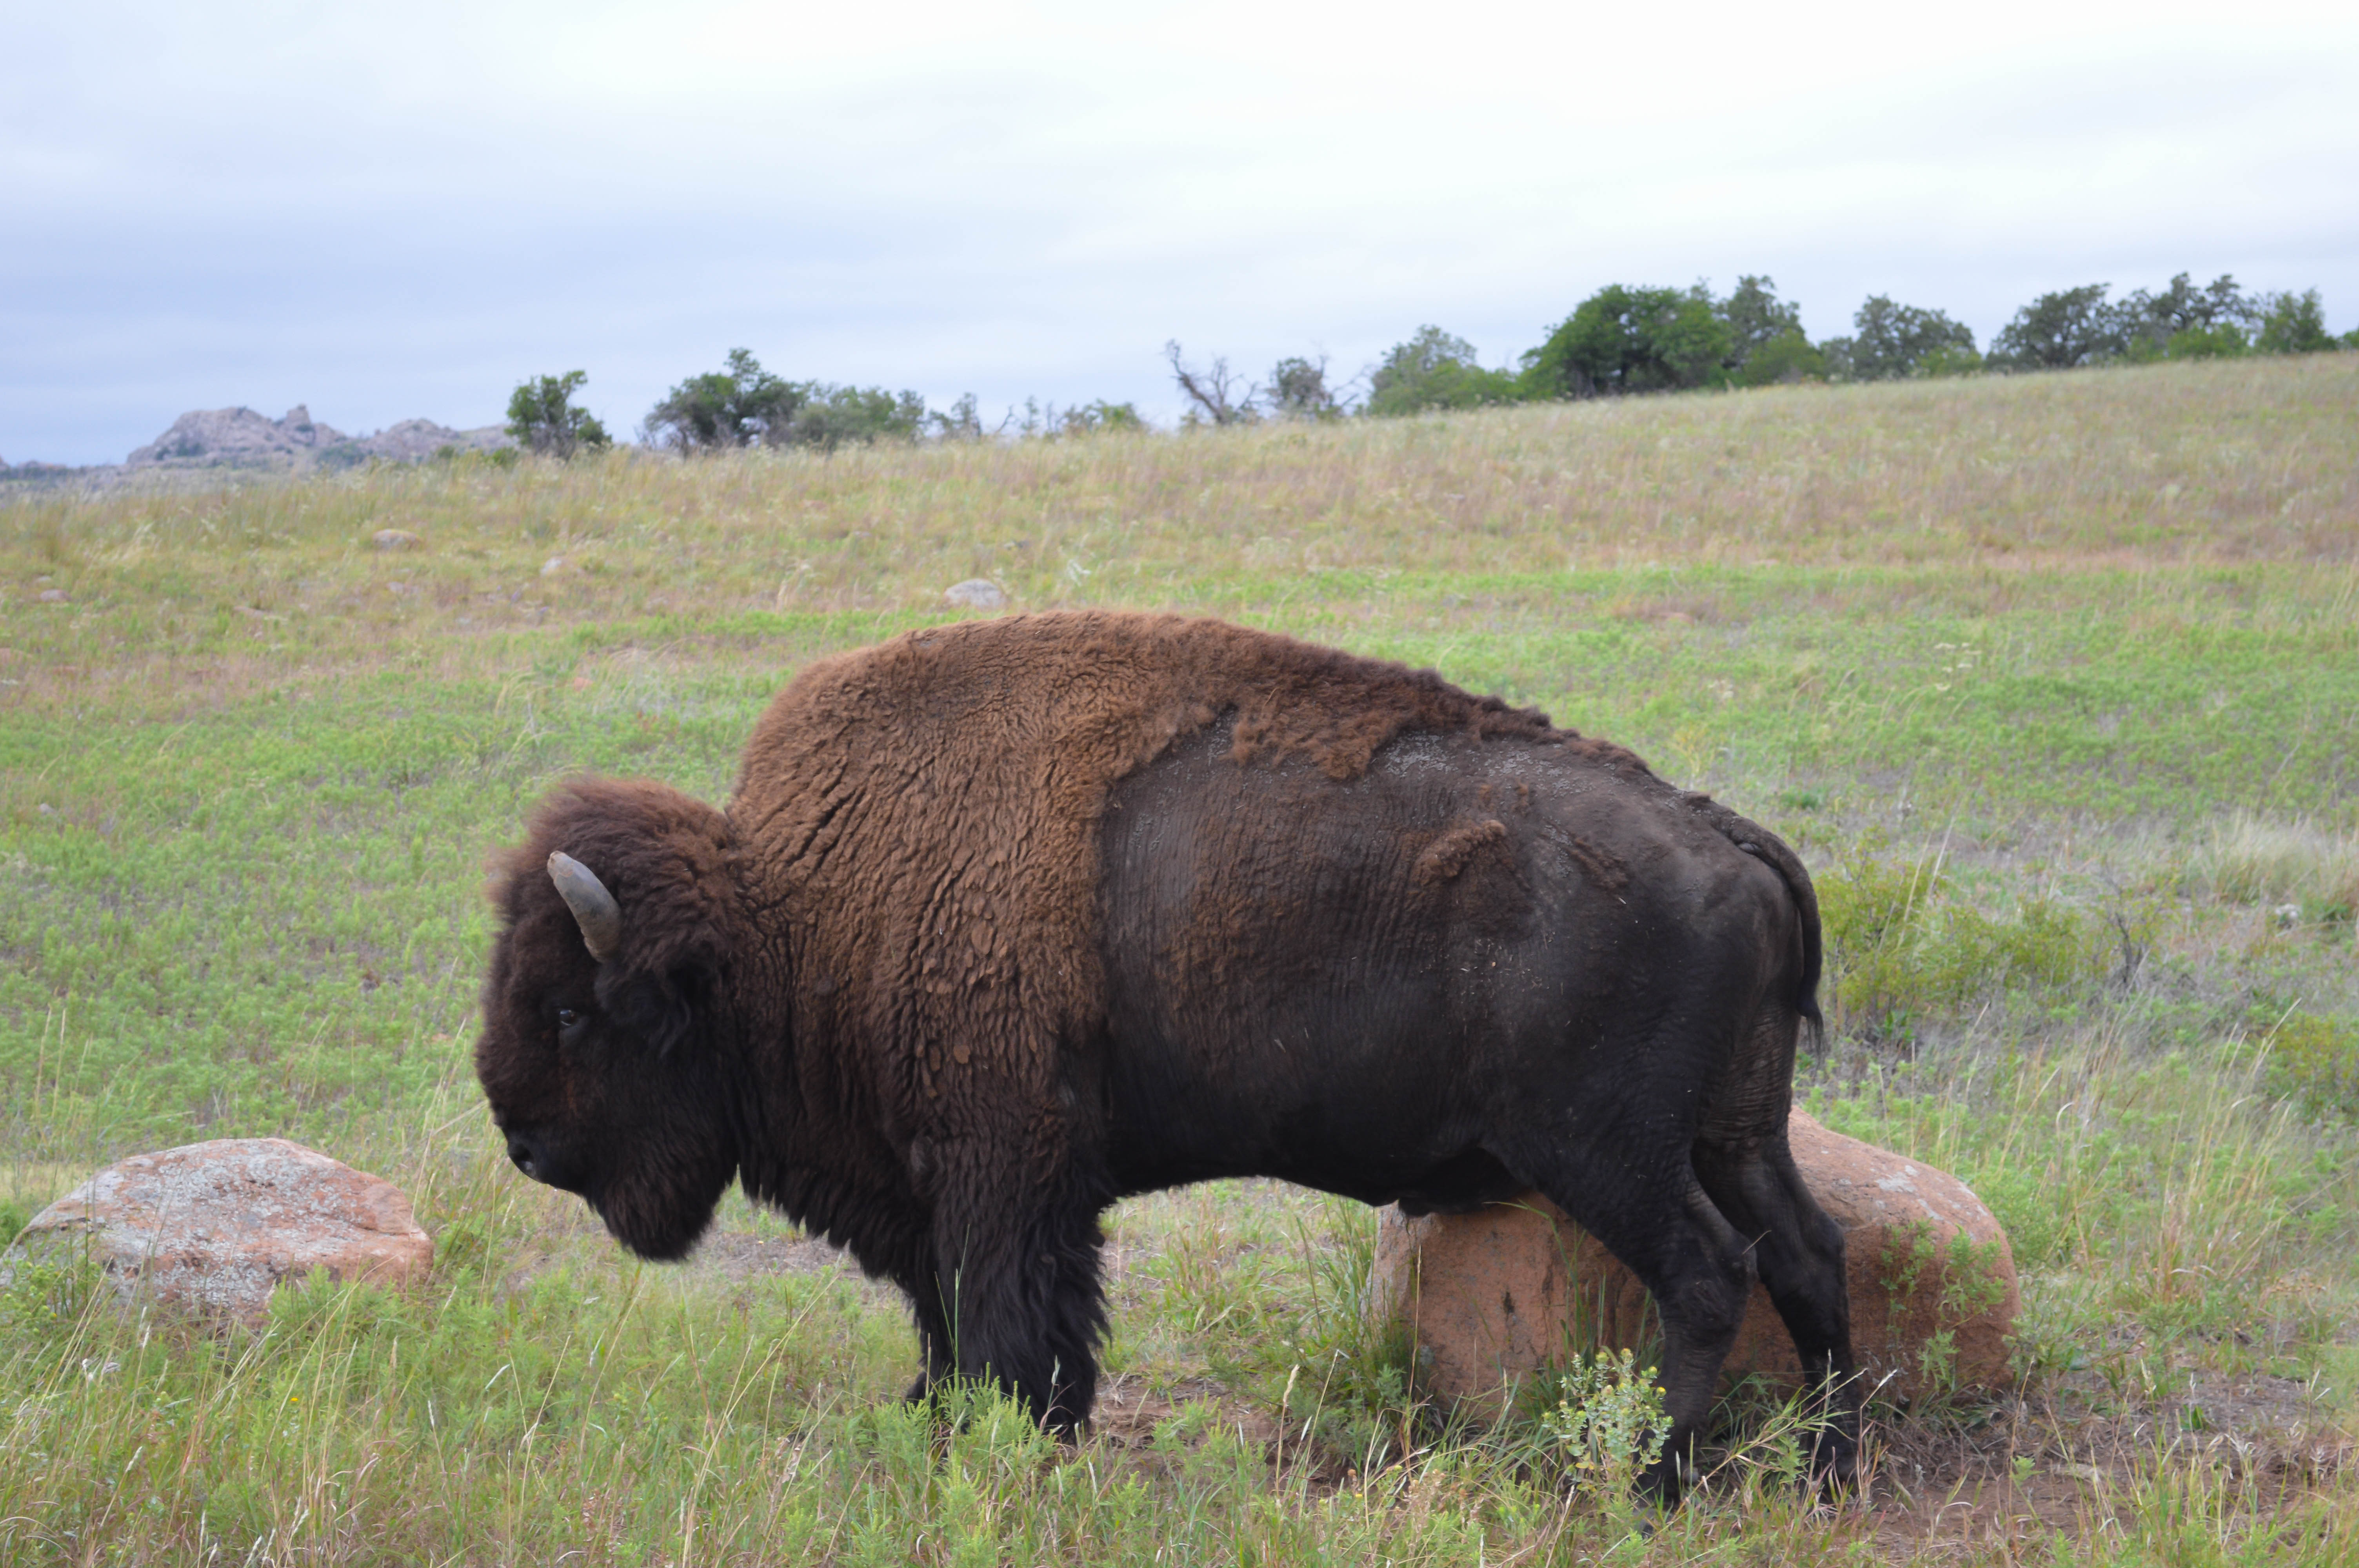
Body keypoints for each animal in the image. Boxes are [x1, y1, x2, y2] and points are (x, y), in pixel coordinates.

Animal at [474, 608, 1859, 1490]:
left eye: (572, 1010)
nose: (526, 1144)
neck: (787, 917)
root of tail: (1726, 835)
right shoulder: (979, 1188)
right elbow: (969, 1317)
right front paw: (959, 1424)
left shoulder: (997, 1174)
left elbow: (996, 1317)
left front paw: (1000, 1443)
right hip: (1736, 1129)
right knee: (1807, 1251)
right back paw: (1828, 1467)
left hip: (1607, 1150)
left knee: (1708, 1274)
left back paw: (1650, 1483)